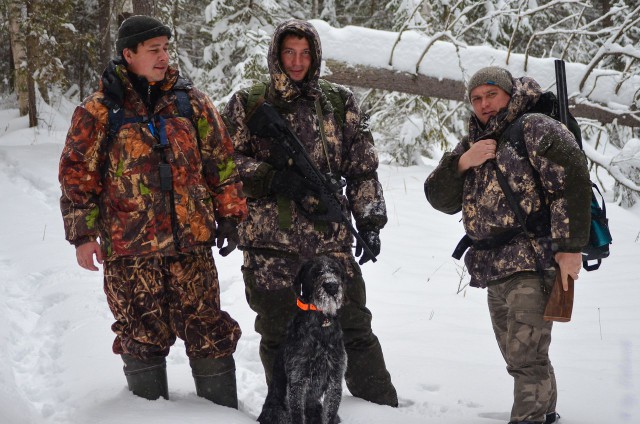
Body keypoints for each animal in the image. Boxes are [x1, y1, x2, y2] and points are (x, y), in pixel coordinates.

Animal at [256, 255, 348, 424]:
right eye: (315, 272)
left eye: (335, 270)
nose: (332, 286)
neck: (321, 321)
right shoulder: (298, 380)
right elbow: (298, 414)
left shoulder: (335, 379)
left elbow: (330, 414)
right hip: (279, 412)